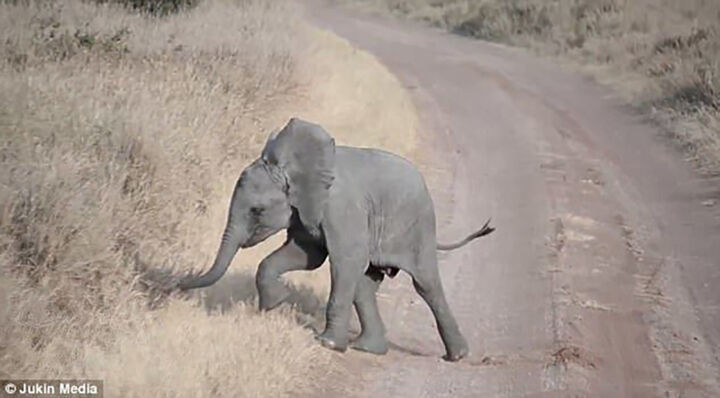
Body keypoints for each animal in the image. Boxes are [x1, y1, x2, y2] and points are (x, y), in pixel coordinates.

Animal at [180, 117, 496, 360]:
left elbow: (343, 261)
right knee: (365, 283)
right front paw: (275, 304)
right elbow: (307, 256)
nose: (179, 285)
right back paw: (368, 349)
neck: (292, 169)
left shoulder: (342, 209)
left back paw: (457, 356)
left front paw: (327, 344)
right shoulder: (304, 210)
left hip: (417, 226)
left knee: (425, 283)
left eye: (257, 210)